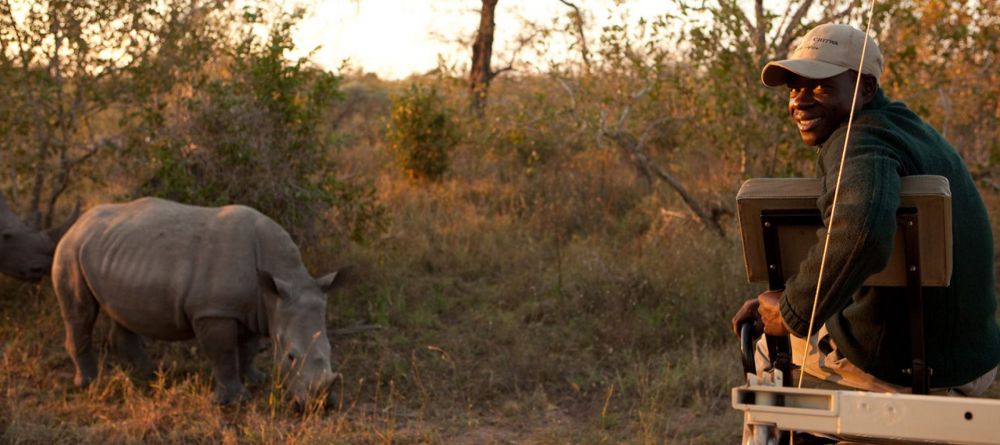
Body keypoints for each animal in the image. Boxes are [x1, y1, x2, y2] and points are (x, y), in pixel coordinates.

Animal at [52, 197, 339, 406]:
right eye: (291, 356)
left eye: (330, 350)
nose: (321, 405)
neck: (282, 277)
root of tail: (79, 221)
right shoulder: (213, 311)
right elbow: (224, 354)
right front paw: (234, 400)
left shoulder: (255, 309)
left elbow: (248, 348)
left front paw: (256, 379)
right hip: (70, 250)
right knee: (80, 314)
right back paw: (90, 383)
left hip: (112, 252)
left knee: (121, 311)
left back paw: (149, 373)